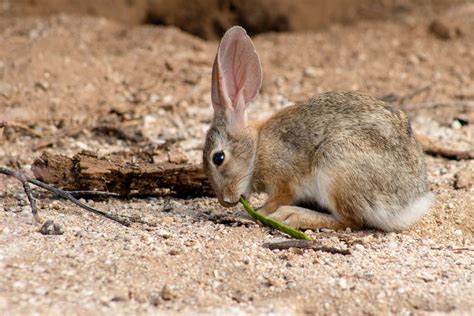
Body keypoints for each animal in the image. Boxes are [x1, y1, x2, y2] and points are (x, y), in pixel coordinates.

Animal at [202, 25, 432, 231]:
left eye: (218, 158)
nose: (225, 201)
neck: (257, 148)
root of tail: (409, 203)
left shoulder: (285, 179)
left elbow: (277, 199)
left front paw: (254, 213)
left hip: (335, 168)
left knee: (350, 221)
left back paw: (292, 216)